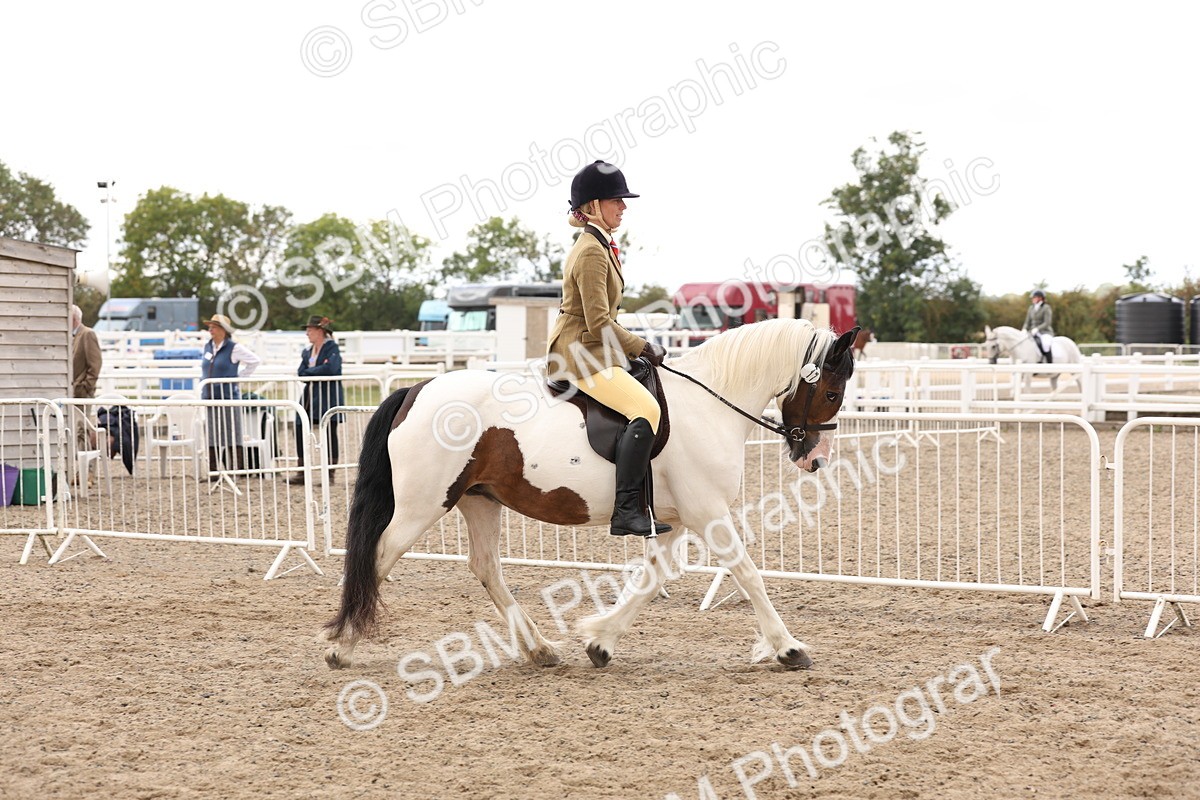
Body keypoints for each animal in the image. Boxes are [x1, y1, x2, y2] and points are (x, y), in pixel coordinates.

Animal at [323, 319, 860, 672]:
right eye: (833, 394)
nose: (815, 459)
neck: (710, 403)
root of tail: (414, 390)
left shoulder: (675, 516)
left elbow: (651, 578)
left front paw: (600, 642)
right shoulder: (707, 511)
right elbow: (748, 573)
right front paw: (789, 648)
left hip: (478, 499)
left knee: (486, 567)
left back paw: (540, 649)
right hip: (423, 504)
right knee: (379, 555)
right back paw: (341, 647)